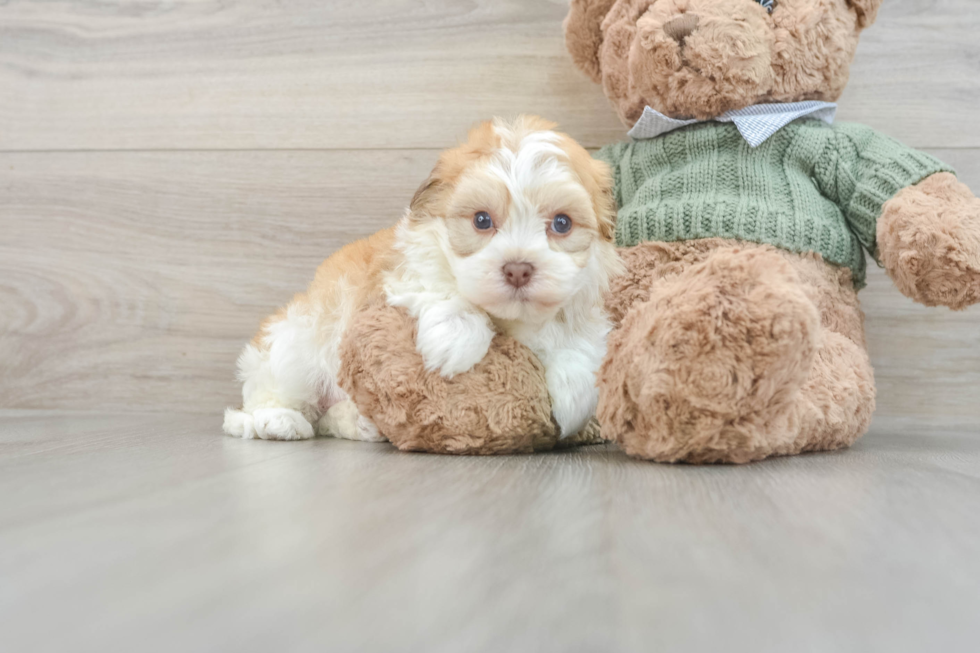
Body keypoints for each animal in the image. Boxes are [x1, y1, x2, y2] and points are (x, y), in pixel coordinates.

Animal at [223, 116, 620, 444]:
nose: (518, 269)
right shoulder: (403, 272)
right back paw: (277, 421)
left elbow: (578, 342)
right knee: (268, 395)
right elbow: (439, 288)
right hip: (296, 343)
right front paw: (457, 339)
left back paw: (360, 423)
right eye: (481, 220)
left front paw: (574, 395)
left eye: (562, 223)